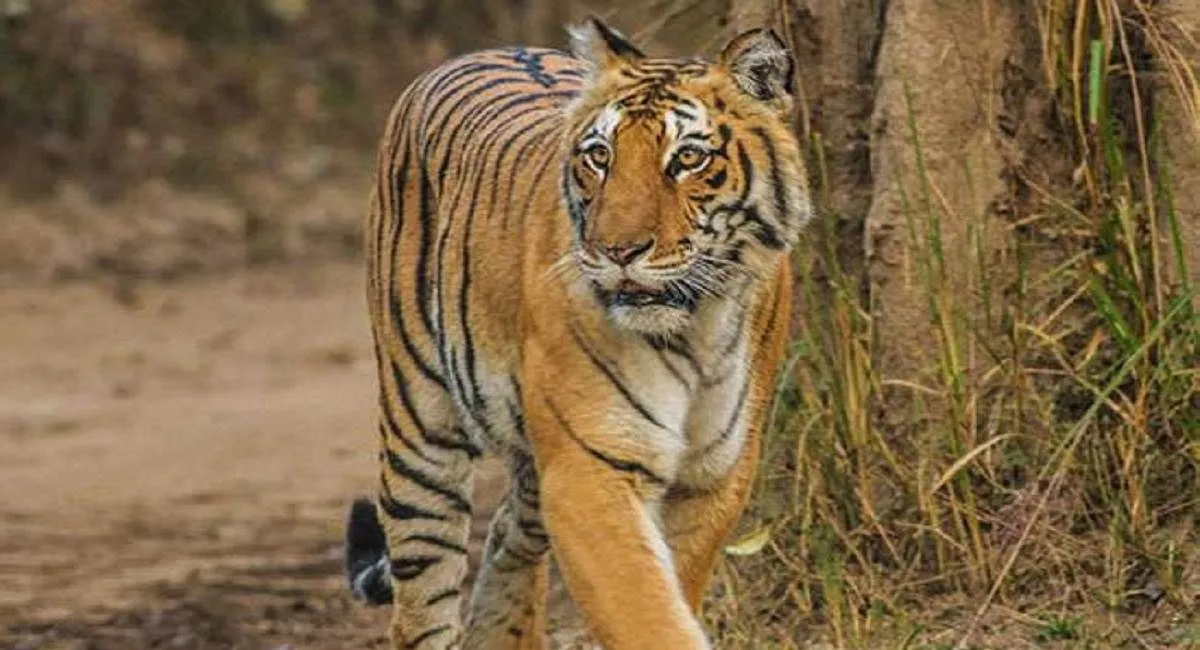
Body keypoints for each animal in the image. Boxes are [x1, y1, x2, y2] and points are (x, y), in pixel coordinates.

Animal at [343, 16, 809, 650]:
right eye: (600, 156)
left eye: (687, 158)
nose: (618, 251)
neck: (695, 329)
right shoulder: (590, 467)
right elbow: (647, 613)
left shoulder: (714, 475)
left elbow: (671, 593)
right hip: (419, 429)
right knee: (423, 601)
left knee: (507, 537)